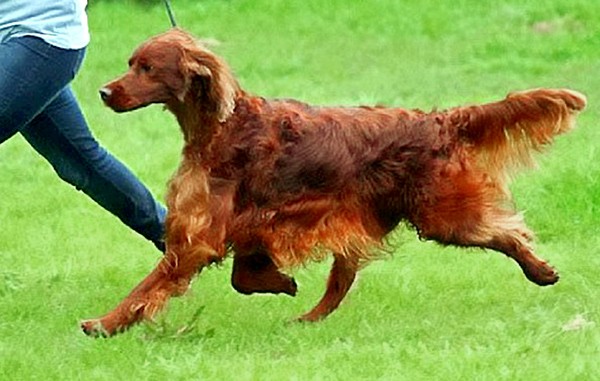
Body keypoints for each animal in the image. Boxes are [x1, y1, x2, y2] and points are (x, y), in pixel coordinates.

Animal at [81, 27, 584, 336]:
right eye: (130, 62)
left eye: (147, 68)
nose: (105, 92)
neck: (221, 126)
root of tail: (438, 121)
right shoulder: (252, 222)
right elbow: (243, 275)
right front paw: (278, 281)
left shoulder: (201, 235)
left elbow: (151, 285)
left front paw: (104, 323)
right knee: (341, 283)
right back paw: (307, 318)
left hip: (441, 213)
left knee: (509, 231)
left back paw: (540, 271)